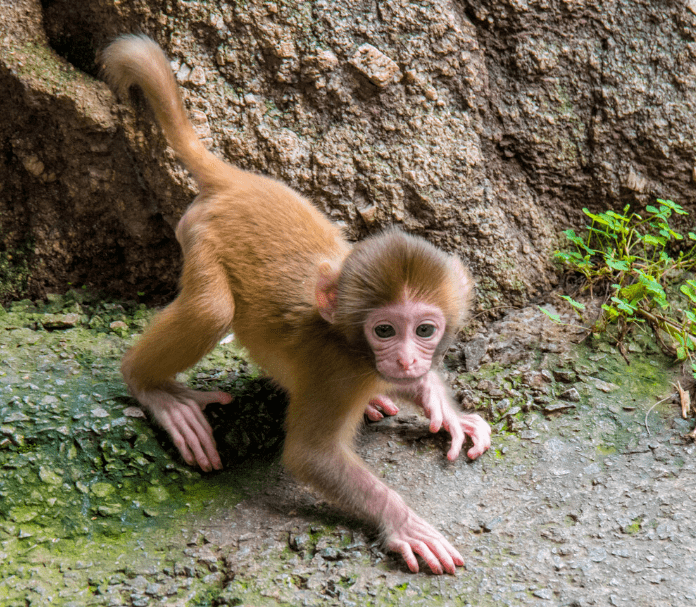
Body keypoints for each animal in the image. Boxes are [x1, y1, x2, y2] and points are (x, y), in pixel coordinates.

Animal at [102, 33, 490, 576]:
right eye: (385, 330)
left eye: (425, 330)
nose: (407, 359)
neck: (349, 343)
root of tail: (236, 182)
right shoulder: (336, 373)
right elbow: (310, 455)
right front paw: (403, 522)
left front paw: (441, 404)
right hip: (198, 235)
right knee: (212, 311)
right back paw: (153, 389)